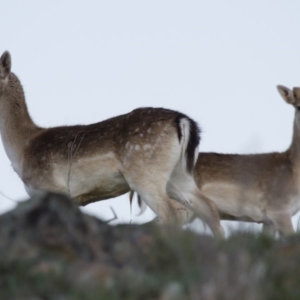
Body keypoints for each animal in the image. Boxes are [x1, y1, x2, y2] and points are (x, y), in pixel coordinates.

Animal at [0, 51, 224, 238]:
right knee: (209, 207)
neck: (22, 150)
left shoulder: (51, 187)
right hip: (179, 175)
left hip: (145, 174)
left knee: (171, 213)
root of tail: (183, 121)